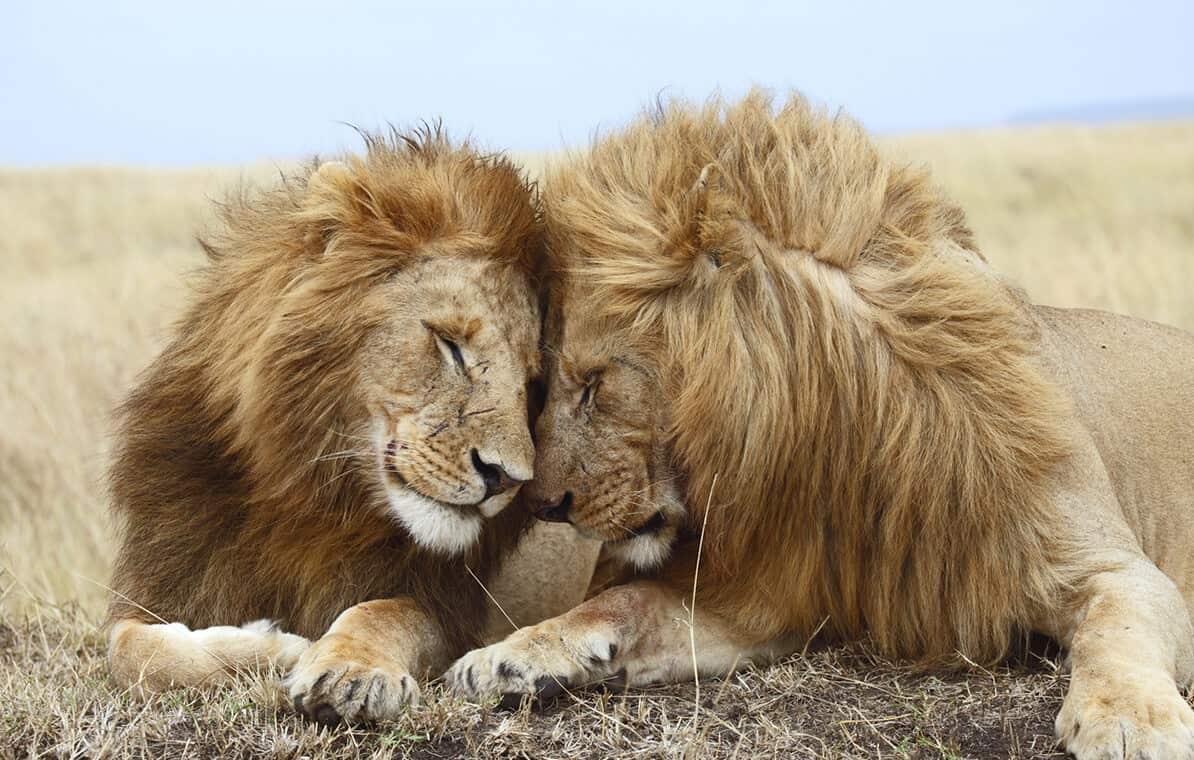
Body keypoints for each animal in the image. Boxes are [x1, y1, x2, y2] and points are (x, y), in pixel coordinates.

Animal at [106, 128, 597, 725]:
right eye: (450, 344)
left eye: (531, 383)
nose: (506, 478)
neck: (309, 493)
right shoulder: (164, 582)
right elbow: (130, 650)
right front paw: (272, 647)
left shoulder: (448, 608)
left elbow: (381, 612)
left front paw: (348, 671)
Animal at [447, 92, 1194, 759]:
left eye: (595, 383)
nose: (544, 505)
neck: (844, 435)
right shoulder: (769, 596)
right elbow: (627, 601)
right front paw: (510, 655)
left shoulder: (1113, 566)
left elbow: (1117, 627)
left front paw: (1130, 719)